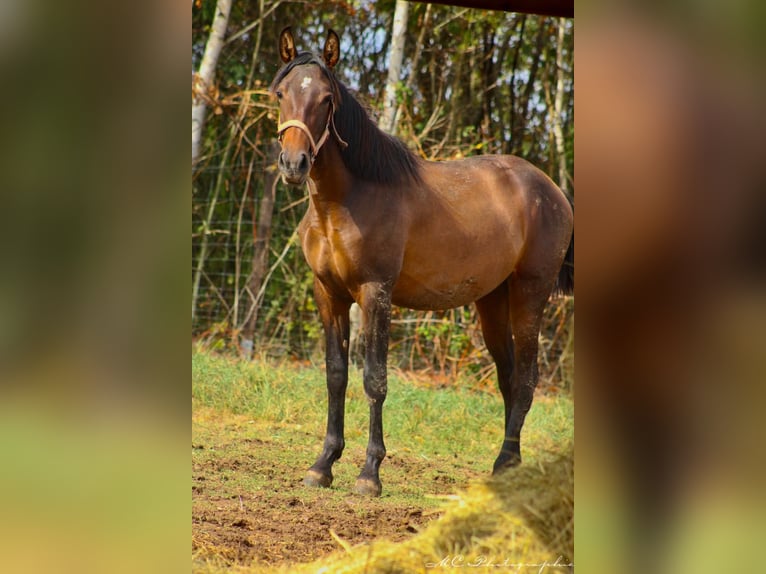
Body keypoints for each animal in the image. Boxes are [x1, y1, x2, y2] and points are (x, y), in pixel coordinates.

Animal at [272, 27, 572, 498]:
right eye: (282, 92)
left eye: (326, 98)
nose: (294, 164)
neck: (347, 199)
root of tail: (553, 190)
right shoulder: (329, 295)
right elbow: (336, 375)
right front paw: (322, 466)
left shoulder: (376, 293)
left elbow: (374, 379)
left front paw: (369, 474)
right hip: (492, 301)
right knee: (508, 378)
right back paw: (507, 467)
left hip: (530, 294)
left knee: (526, 379)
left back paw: (504, 464)